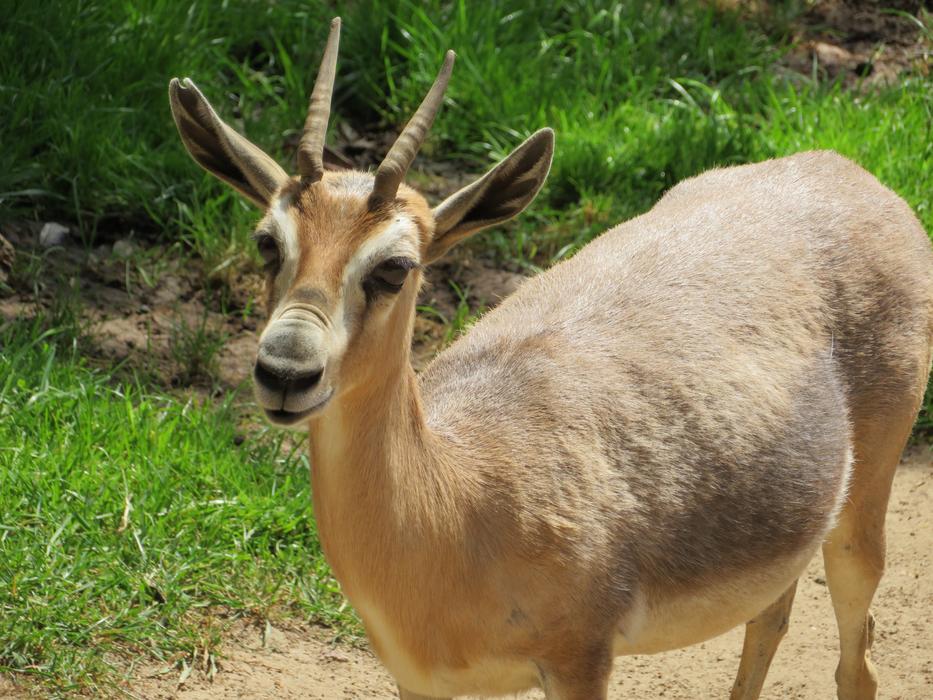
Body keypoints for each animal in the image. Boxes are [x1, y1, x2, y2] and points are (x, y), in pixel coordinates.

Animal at [169, 18, 933, 700]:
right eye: (268, 242)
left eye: (394, 267)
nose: (285, 371)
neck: (457, 500)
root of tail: (846, 173)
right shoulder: (419, 682)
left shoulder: (580, 662)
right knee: (768, 620)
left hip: (862, 512)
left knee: (857, 665)